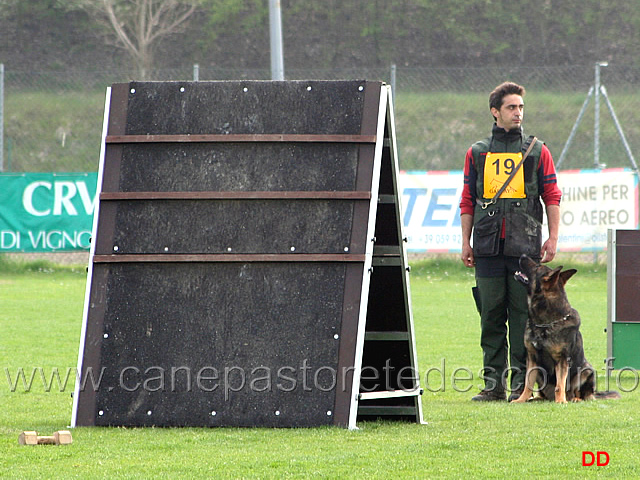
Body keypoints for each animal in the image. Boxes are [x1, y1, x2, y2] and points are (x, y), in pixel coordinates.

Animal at [510, 253, 620, 404]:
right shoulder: (532, 359)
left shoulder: (562, 360)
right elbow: (528, 383)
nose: (523, 255)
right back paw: (537, 398)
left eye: (537, 266)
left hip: (586, 371)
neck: (545, 323)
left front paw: (561, 401)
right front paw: (521, 399)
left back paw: (574, 399)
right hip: (541, 375)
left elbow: (560, 384)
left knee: (583, 395)